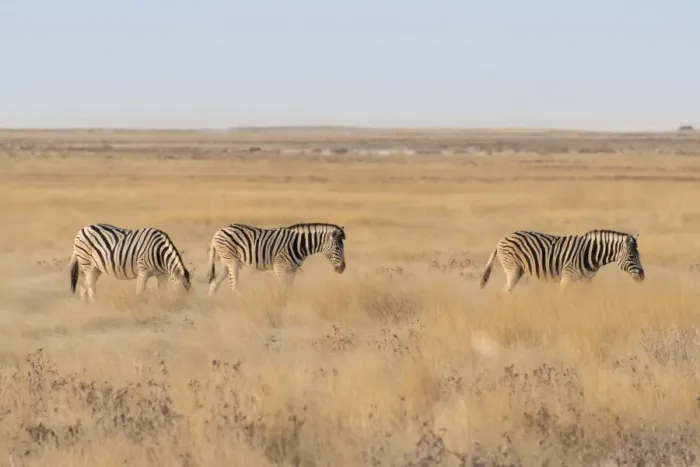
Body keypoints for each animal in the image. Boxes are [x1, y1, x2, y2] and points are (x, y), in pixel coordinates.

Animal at [206, 222, 346, 297]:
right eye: (337, 248)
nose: (343, 268)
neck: (299, 244)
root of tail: (217, 232)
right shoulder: (280, 266)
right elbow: (283, 287)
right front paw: (281, 304)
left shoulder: (292, 270)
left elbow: (289, 287)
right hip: (232, 259)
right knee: (234, 284)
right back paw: (243, 302)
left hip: (225, 262)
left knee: (215, 282)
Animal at [479, 229, 645, 292]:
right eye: (632, 257)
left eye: (639, 256)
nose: (643, 277)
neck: (591, 254)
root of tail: (501, 239)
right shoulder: (568, 276)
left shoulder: (587, 279)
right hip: (513, 269)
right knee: (505, 291)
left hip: (518, 270)